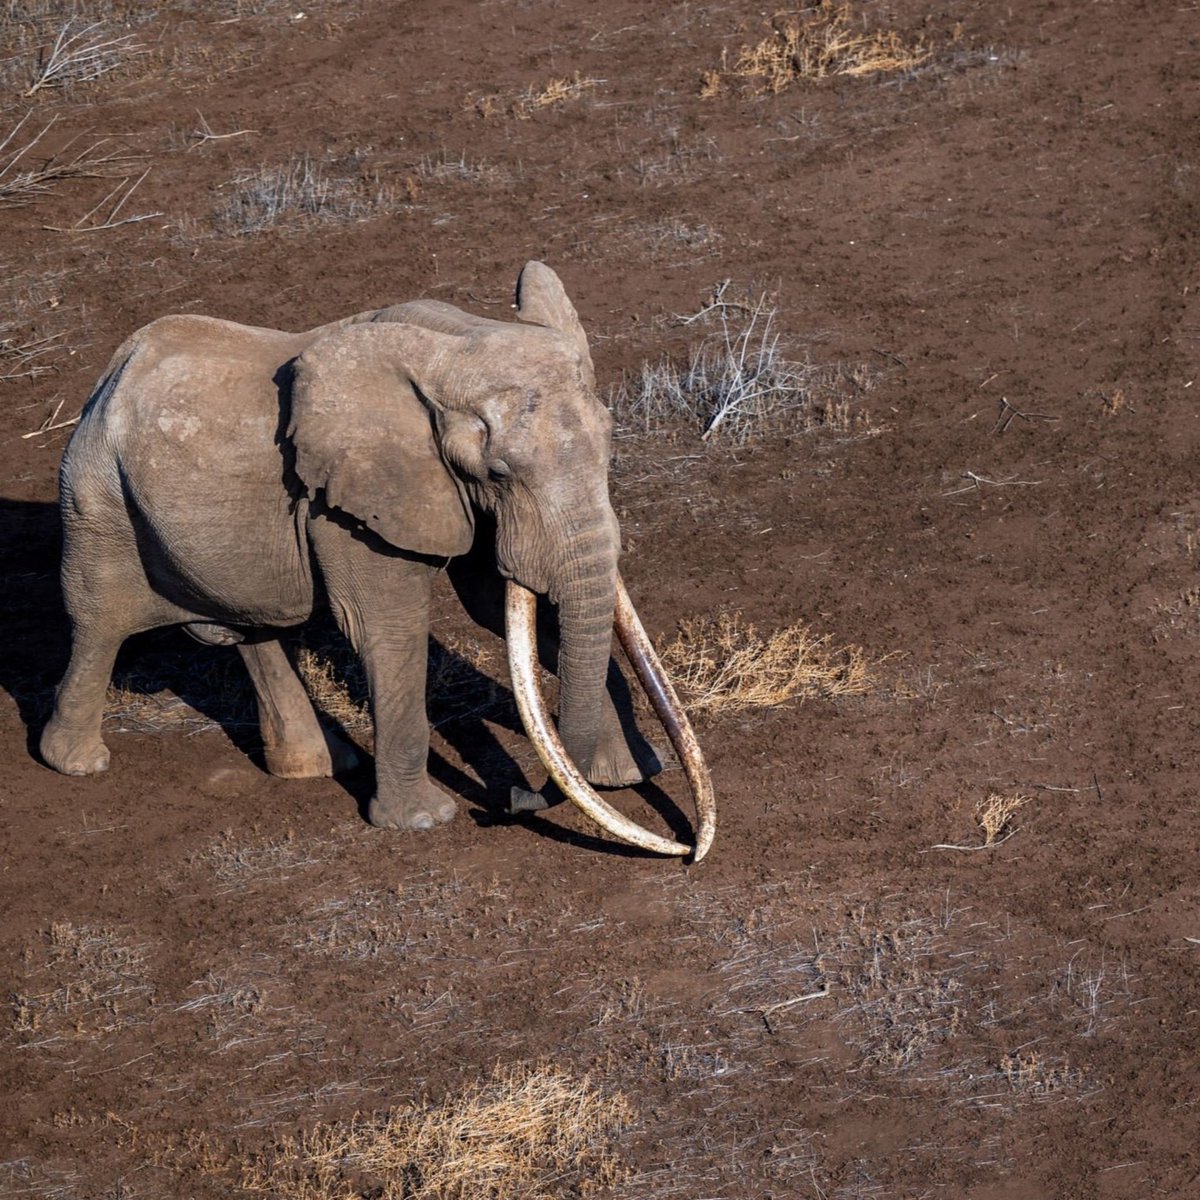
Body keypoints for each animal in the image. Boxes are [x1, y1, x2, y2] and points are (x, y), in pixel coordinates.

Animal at [41, 262, 714, 859]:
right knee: (98, 622)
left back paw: (316, 766)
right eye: (498, 472)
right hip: (96, 495)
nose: (516, 798)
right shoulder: (347, 499)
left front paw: (625, 776)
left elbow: (510, 607)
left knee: (253, 629)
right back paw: (73, 762)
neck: (458, 338)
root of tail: (112, 372)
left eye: (610, 445)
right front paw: (423, 822)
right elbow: (388, 628)